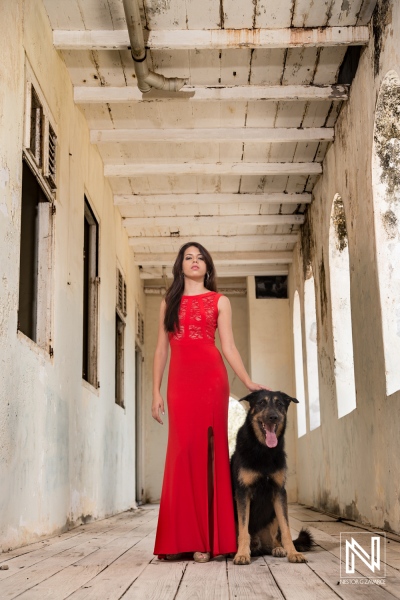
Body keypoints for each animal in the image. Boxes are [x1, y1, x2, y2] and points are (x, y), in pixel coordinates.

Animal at [231, 392, 312, 564]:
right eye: (262, 402)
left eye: (280, 404)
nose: (273, 417)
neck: (263, 450)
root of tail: (258, 545)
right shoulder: (243, 493)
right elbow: (243, 530)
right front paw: (242, 554)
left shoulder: (279, 492)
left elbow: (286, 529)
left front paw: (293, 552)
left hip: (273, 515)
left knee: (276, 538)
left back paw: (279, 548)